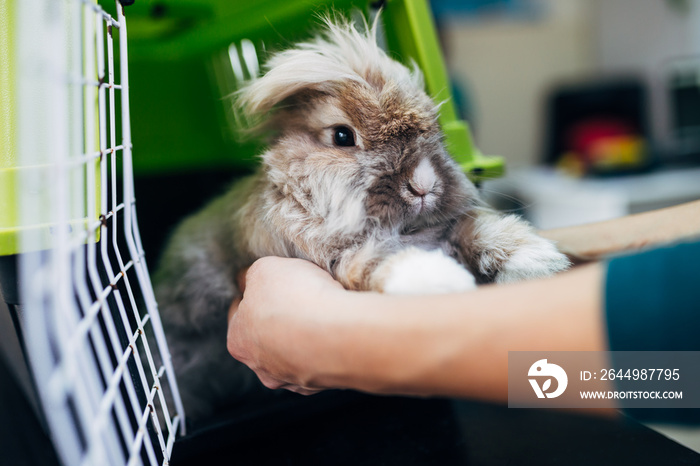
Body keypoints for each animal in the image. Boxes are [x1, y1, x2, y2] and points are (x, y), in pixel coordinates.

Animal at [152, 14, 568, 422]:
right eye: (342, 136)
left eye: (435, 133)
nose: (423, 184)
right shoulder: (337, 257)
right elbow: (379, 260)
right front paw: (441, 280)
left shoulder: (449, 229)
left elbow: (479, 231)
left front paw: (539, 261)